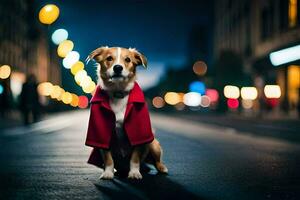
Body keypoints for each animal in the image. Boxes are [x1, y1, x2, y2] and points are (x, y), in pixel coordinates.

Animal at [85, 46, 168, 180]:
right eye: (109, 58)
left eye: (128, 59)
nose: (118, 67)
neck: (118, 93)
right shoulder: (102, 135)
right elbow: (108, 158)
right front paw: (108, 173)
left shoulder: (138, 135)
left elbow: (135, 158)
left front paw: (134, 173)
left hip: (153, 143)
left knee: (156, 161)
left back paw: (160, 168)